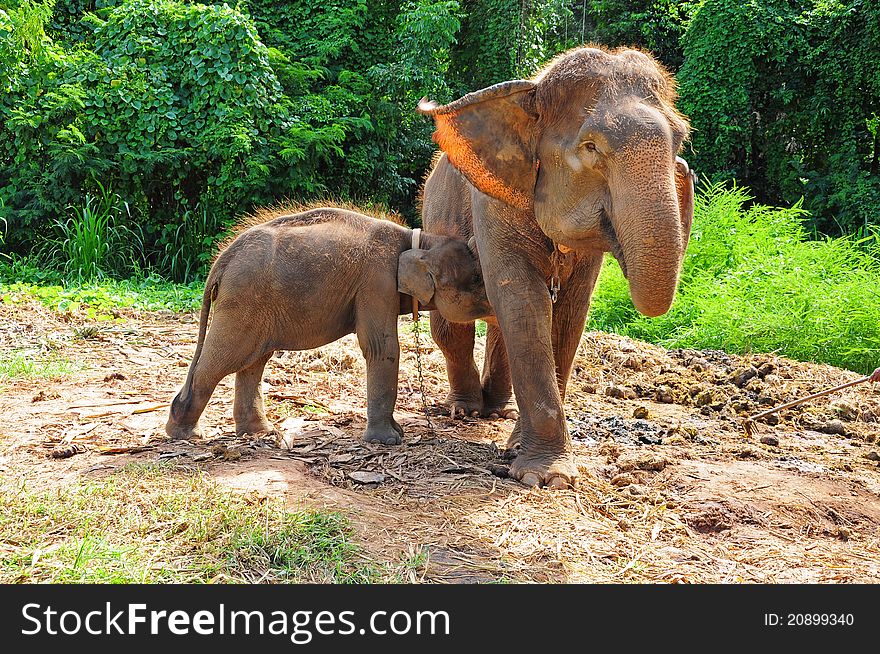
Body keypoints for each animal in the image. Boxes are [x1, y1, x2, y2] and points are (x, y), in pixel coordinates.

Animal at [165, 208, 492, 448]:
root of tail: (222, 261)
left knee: (254, 361)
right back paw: (184, 434)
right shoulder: (377, 282)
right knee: (226, 359)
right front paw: (388, 441)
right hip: (242, 302)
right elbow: (380, 347)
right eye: (476, 279)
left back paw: (259, 433)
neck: (420, 239)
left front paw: (396, 433)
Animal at [418, 47, 696, 486]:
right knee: (454, 329)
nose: (684, 169)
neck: (530, 93)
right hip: (435, 216)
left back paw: (499, 411)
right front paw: (545, 477)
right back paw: (465, 410)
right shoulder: (492, 203)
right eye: (590, 146)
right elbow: (525, 303)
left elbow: (568, 315)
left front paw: (522, 453)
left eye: (681, 140)